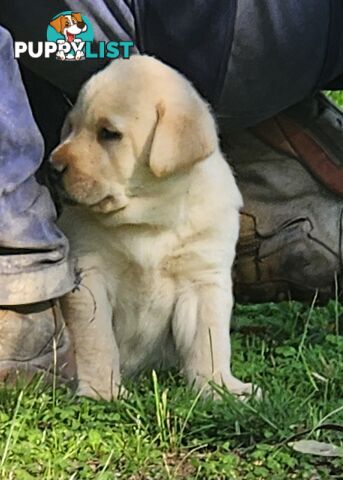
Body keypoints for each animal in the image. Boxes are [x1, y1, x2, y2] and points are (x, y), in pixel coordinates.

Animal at [50, 55, 255, 402]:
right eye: (72, 127)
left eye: (108, 133)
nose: (52, 168)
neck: (148, 219)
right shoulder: (89, 274)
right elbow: (97, 339)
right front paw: (102, 390)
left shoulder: (203, 280)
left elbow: (210, 342)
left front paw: (220, 388)